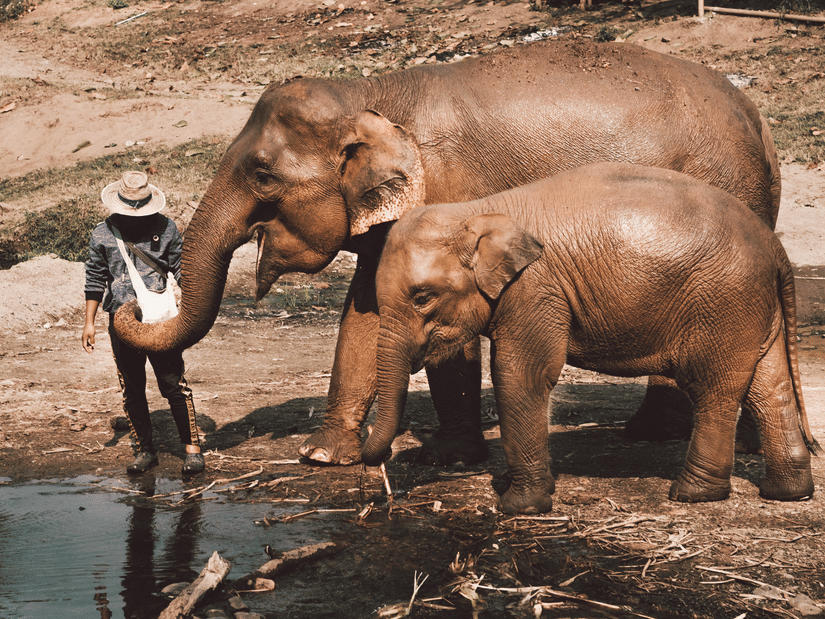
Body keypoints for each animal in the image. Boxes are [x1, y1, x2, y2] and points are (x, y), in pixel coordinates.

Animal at [114, 39, 781, 467]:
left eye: (262, 175)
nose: (127, 305)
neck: (372, 94)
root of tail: (759, 119)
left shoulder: (451, 194)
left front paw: (454, 459)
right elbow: (365, 313)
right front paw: (323, 456)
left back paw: (653, 435)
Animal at [362, 159, 819, 515]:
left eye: (422, 298)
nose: (379, 472)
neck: (480, 211)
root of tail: (776, 248)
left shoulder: (535, 289)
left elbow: (522, 375)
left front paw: (518, 507)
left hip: (723, 302)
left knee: (713, 388)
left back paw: (692, 494)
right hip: (752, 306)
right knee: (768, 385)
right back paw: (788, 493)